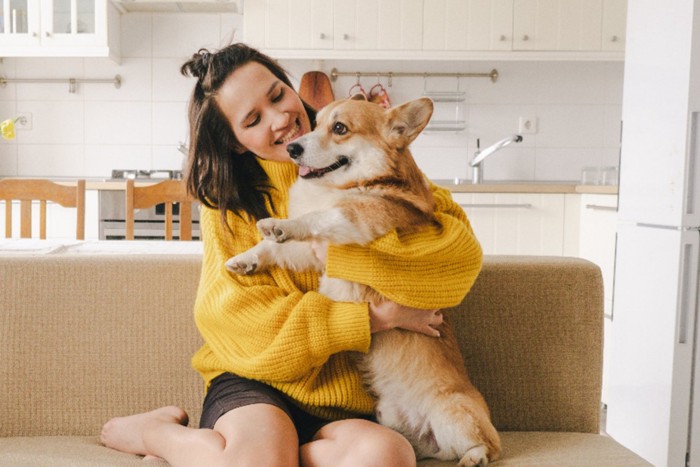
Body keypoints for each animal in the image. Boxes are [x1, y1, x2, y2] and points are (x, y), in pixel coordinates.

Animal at [227, 96, 500, 467]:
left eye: (340, 128)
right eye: (316, 122)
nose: (292, 147)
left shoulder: (355, 220)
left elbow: (317, 217)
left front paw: (281, 224)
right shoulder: (312, 254)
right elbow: (272, 248)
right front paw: (245, 260)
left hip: (454, 415)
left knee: (488, 447)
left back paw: (473, 459)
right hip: (390, 416)